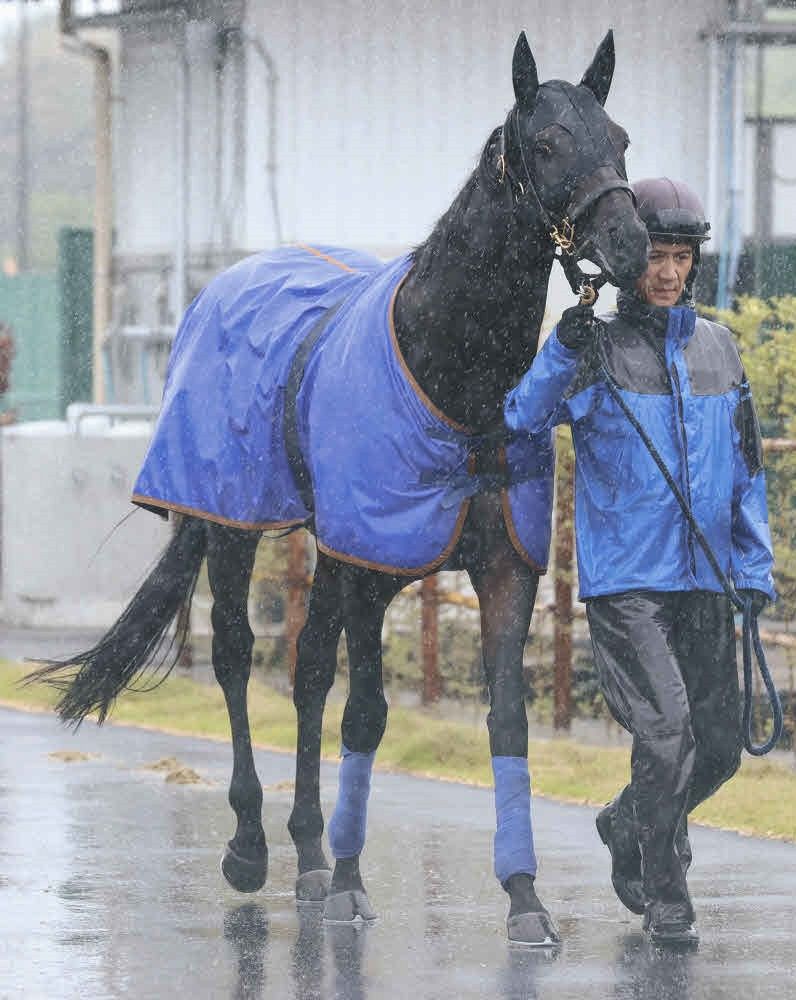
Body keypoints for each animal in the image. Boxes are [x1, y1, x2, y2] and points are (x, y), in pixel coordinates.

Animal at [29, 31, 649, 947]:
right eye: (546, 144)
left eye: (621, 138)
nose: (634, 243)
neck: (457, 380)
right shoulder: (371, 566)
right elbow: (366, 714)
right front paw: (355, 886)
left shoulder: (502, 568)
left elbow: (505, 720)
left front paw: (524, 897)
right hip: (236, 527)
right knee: (238, 656)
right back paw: (252, 846)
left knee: (308, 668)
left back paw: (311, 855)